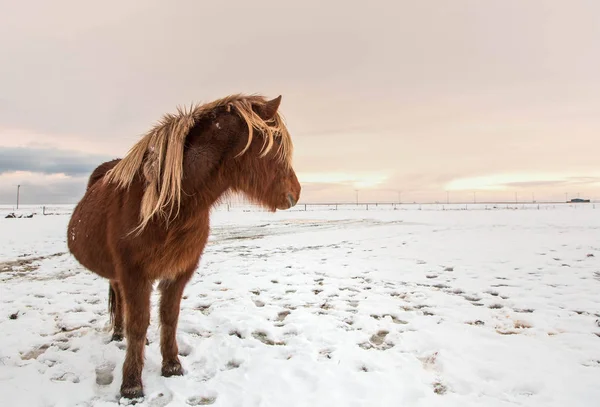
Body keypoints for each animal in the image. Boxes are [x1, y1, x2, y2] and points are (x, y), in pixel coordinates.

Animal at [67, 94, 300, 400]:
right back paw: (118, 333)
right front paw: (131, 384)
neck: (168, 208)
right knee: (119, 299)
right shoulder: (134, 274)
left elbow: (169, 318)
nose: (296, 193)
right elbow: (138, 324)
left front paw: (172, 365)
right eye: (277, 143)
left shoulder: (179, 272)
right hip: (117, 274)